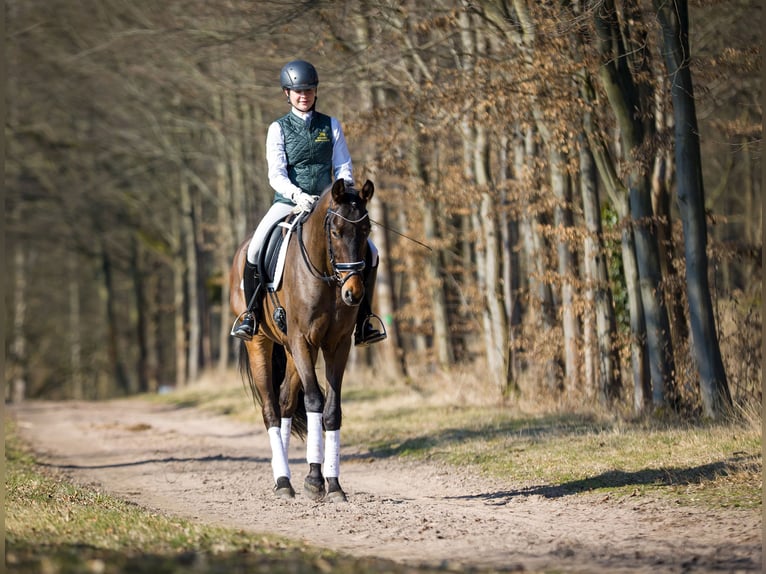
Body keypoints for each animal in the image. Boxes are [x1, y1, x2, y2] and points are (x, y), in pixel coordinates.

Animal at [229, 178, 374, 502]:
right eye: (335, 231)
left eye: (367, 229)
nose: (354, 293)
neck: (327, 276)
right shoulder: (302, 340)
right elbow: (314, 401)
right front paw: (314, 480)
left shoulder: (338, 345)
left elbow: (331, 410)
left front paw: (333, 484)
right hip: (261, 343)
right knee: (271, 409)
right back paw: (282, 480)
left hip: (291, 351)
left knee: (284, 401)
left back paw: (283, 475)